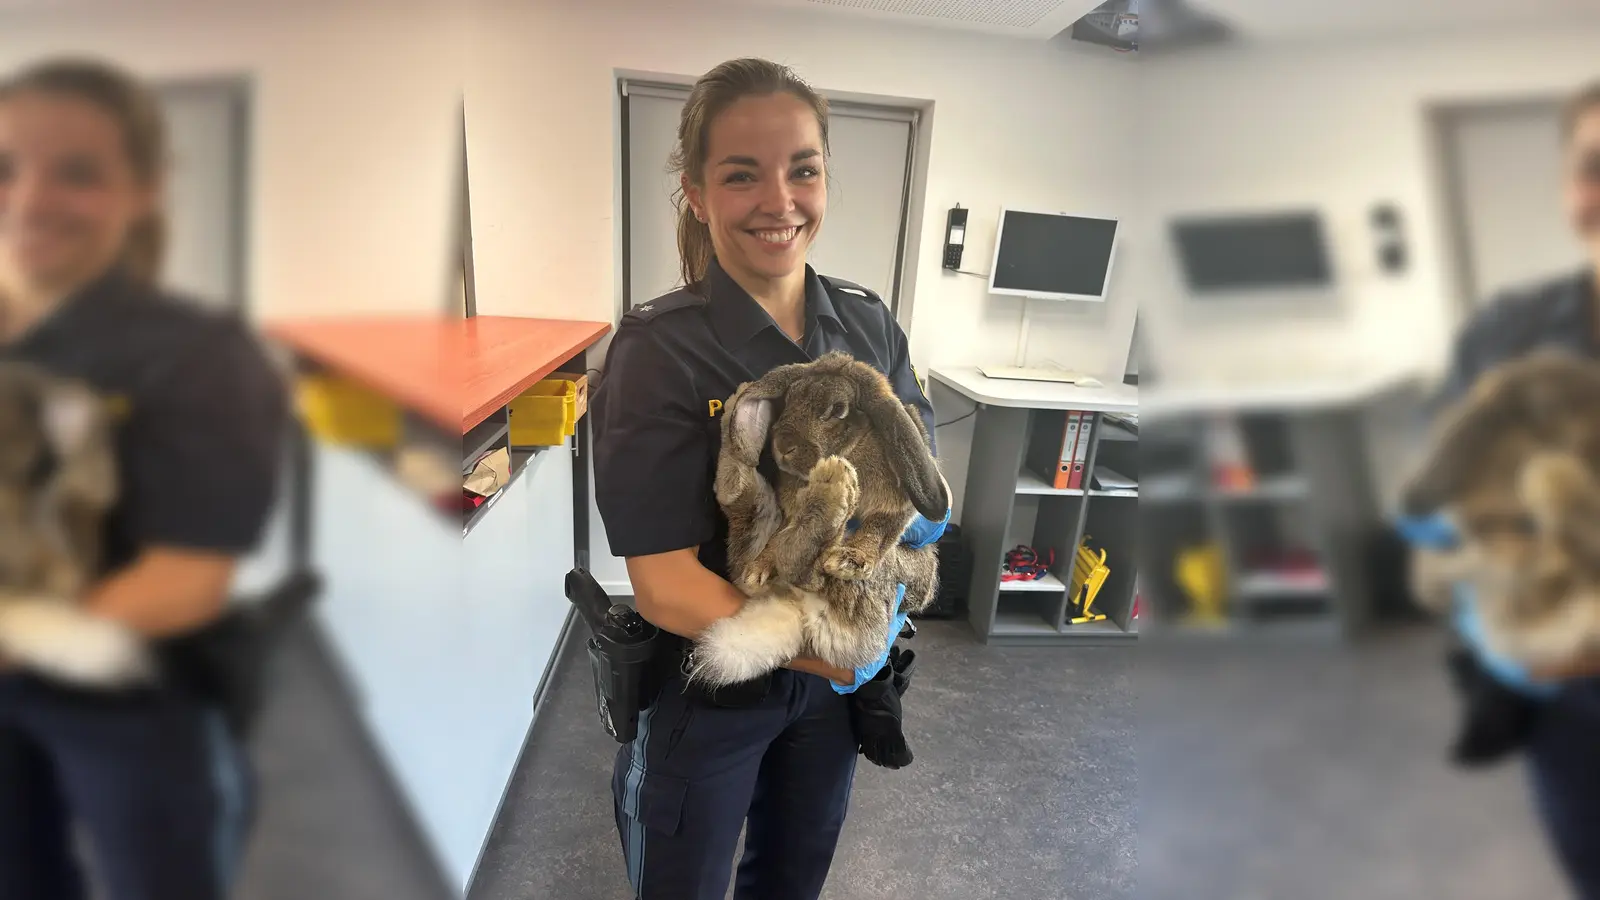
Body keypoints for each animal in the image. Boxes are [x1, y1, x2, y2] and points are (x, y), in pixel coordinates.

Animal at [690, 351, 951, 687]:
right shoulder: (788, 510)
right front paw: (762, 564)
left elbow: (880, 528)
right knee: (742, 505)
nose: (782, 446)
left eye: (837, 410)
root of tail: (797, 612)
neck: (852, 447)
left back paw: (833, 490)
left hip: (884, 578)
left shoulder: (894, 508)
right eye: (789, 399)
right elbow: (779, 536)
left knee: (809, 572)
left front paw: (853, 557)